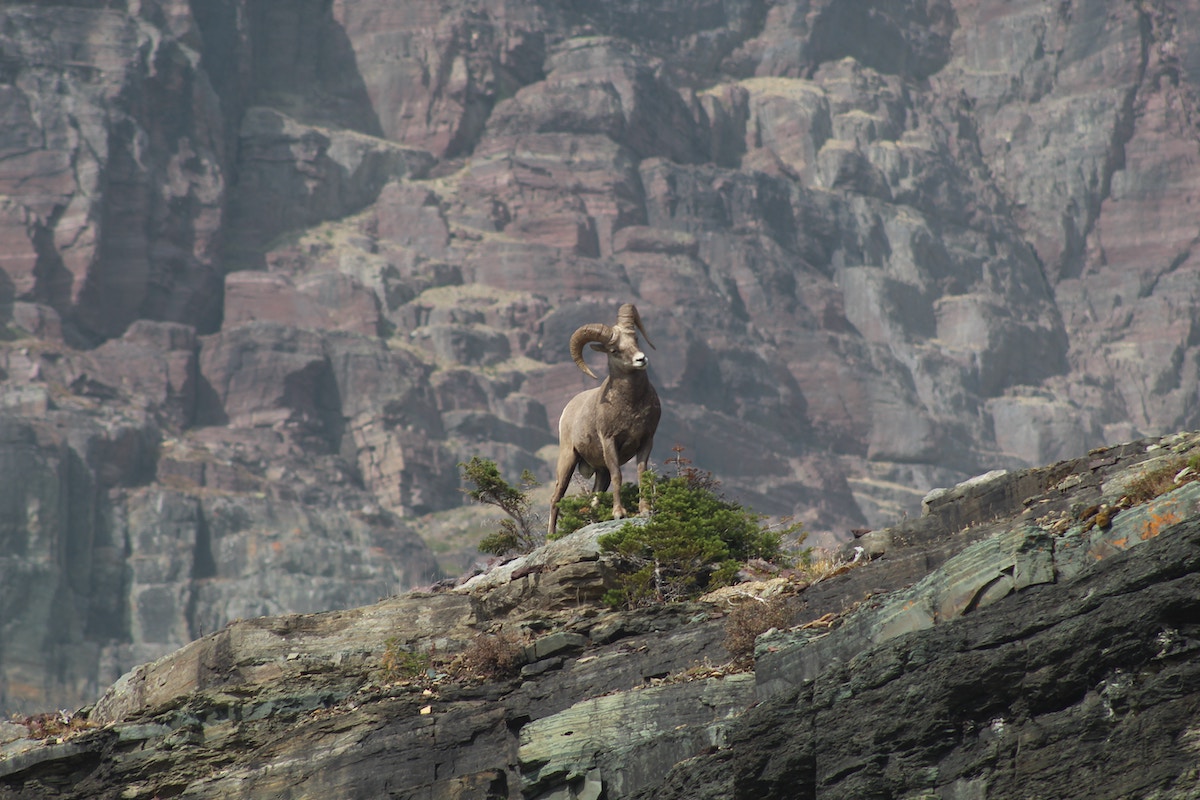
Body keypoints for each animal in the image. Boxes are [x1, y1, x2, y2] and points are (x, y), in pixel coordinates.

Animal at [548, 303, 662, 537]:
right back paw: (549, 538)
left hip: (601, 473)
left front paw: (645, 510)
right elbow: (619, 474)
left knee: (594, 498)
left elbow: (642, 473)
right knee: (556, 498)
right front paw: (619, 513)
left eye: (635, 338)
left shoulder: (646, 440)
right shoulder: (610, 441)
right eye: (614, 350)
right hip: (568, 459)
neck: (630, 405)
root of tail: (568, 409)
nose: (641, 359)